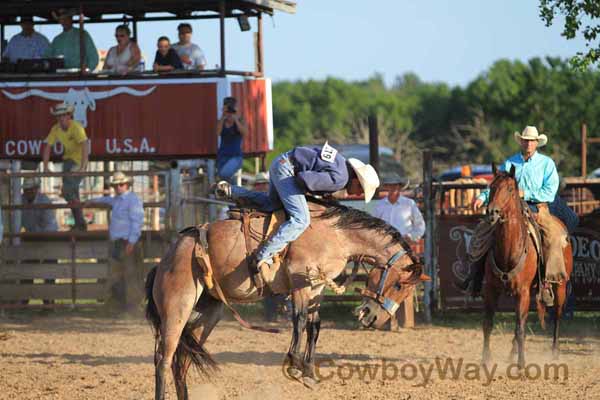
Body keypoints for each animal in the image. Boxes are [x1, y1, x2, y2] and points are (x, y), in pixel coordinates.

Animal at [145, 198, 426, 398]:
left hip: (206, 314)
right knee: (163, 359)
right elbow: (299, 321)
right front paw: (294, 365)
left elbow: (314, 325)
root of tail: (166, 258)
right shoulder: (301, 283)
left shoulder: (316, 287)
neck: (336, 235)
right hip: (177, 308)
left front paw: (309, 372)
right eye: (399, 285)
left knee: (181, 361)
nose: (373, 317)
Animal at [482, 165, 572, 368]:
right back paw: (511, 353)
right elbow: (488, 324)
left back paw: (554, 352)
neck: (510, 250)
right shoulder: (491, 289)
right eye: (491, 187)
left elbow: (520, 328)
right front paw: (486, 359)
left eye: (510, 189)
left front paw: (522, 363)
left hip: (560, 285)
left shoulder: (522, 291)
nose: (492, 212)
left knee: (557, 315)